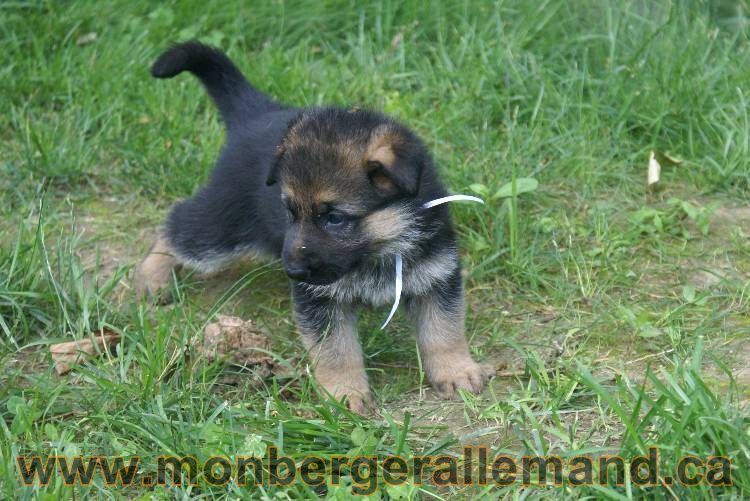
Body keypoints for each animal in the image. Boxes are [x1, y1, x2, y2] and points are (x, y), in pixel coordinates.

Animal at [135, 41, 494, 412]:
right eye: (290, 212)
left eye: (334, 217)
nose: (291, 271)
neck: (380, 248)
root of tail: (256, 116)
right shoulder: (319, 300)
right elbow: (337, 350)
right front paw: (345, 393)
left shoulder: (437, 278)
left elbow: (445, 331)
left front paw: (456, 370)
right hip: (221, 228)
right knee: (178, 224)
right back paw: (152, 276)